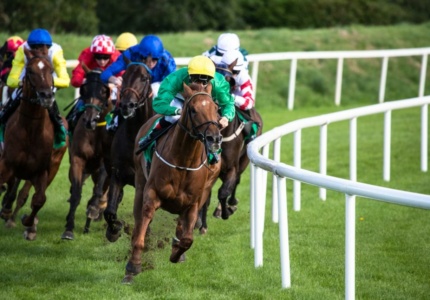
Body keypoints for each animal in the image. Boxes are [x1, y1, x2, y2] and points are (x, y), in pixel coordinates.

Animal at [0, 46, 67, 239]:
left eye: (50, 71)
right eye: (30, 70)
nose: (46, 96)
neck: (30, 130)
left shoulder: (40, 171)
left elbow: (39, 199)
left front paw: (27, 222)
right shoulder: (6, 164)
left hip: (54, 165)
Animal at [62, 65, 113, 239]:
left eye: (104, 91)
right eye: (84, 89)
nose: (89, 120)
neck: (94, 132)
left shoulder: (105, 163)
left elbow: (98, 192)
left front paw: (93, 209)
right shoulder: (77, 160)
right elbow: (76, 193)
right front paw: (69, 229)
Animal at [103, 59, 153, 244]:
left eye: (144, 78)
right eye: (124, 77)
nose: (127, 105)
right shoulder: (118, 173)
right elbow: (109, 211)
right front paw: (114, 230)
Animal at [121, 82, 222, 284]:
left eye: (215, 108)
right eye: (192, 110)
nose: (214, 138)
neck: (184, 162)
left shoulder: (192, 203)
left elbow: (187, 239)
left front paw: (176, 252)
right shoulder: (152, 194)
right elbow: (142, 229)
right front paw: (133, 265)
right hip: (140, 181)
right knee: (138, 218)